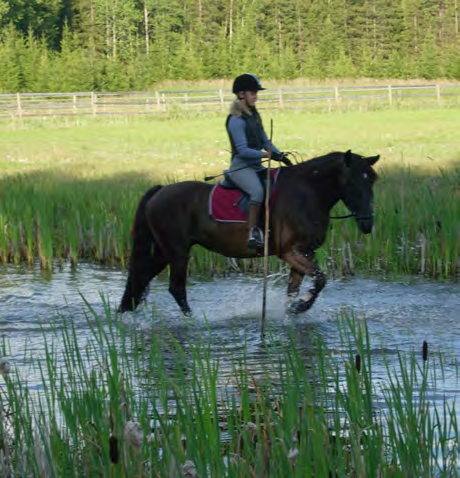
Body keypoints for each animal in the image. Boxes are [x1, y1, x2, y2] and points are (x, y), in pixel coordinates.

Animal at [117, 151, 378, 316]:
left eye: (372, 182)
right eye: (352, 182)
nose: (368, 224)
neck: (307, 193)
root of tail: (160, 191)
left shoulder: (304, 252)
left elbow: (297, 288)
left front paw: (293, 310)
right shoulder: (289, 251)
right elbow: (320, 279)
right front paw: (300, 307)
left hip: (165, 252)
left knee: (141, 277)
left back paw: (124, 312)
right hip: (178, 252)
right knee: (176, 288)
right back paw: (192, 320)